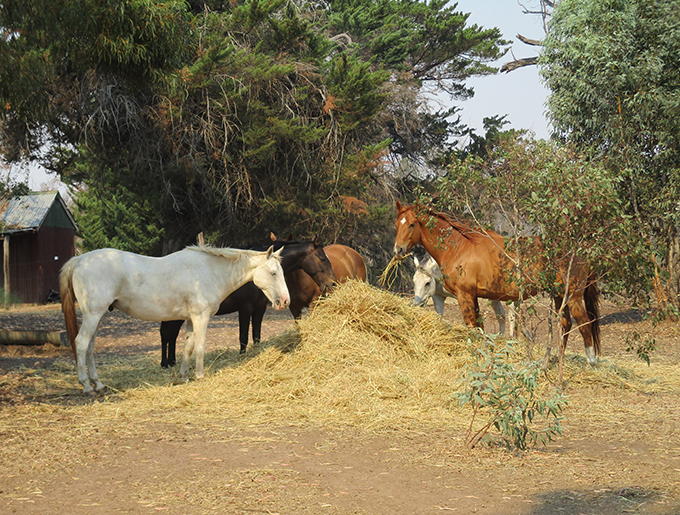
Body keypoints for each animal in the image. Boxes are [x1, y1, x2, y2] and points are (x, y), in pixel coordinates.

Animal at [60, 246, 290, 396]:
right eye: (273, 273)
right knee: (81, 344)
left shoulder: (189, 319)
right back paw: (87, 387)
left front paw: (184, 375)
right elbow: (200, 346)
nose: (285, 301)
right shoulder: (201, 316)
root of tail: (79, 260)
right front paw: (199, 376)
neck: (210, 271)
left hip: (96, 316)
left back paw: (98, 385)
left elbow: (187, 347)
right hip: (93, 315)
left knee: (90, 348)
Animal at [161, 238, 338, 366]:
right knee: (168, 333)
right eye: (322, 258)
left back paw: (171, 362)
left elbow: (256, 336)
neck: (252, 276)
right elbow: (244, 338)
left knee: (170, 333)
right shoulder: (245, 310)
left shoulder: (259, 310)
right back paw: (167, 363)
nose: (332, 283)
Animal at [394, 200, 600, 364]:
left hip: (573, 295)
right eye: (397, 224)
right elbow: (479, 326)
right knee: (565, 324)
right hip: (559, 295)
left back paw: (591, 361)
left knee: (584, 323)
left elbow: (472, 326)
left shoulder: (464, 295)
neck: (459, 247)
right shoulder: (474, 296)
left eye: (412, 224)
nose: (398, 249)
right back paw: (557, 358)